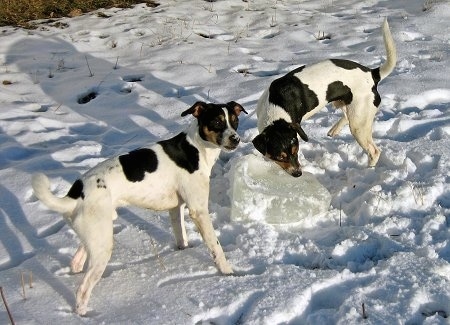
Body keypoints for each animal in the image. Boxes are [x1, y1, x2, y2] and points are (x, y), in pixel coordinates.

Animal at [31, 100, 248, 314]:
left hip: (97, 233)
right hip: (102, 245)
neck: (196, 148)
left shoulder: (176, 208)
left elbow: (181, 237)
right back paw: (84, 314)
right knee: (83, 288)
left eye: (235, 121)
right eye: (217, 122)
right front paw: (228, 273)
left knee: (76, 261)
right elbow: (215, 246)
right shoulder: (198, 210)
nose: (236, 139)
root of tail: (76, 194)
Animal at [253, 19, 398, 176]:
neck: (276, 106)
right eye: (280, 157)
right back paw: (334, 130)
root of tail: (372, 75)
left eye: (296, 150)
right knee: (347, 116)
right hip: (348, 106)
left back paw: (368, 170)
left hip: (359, 124)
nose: (298, 173)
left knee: (374, 151)